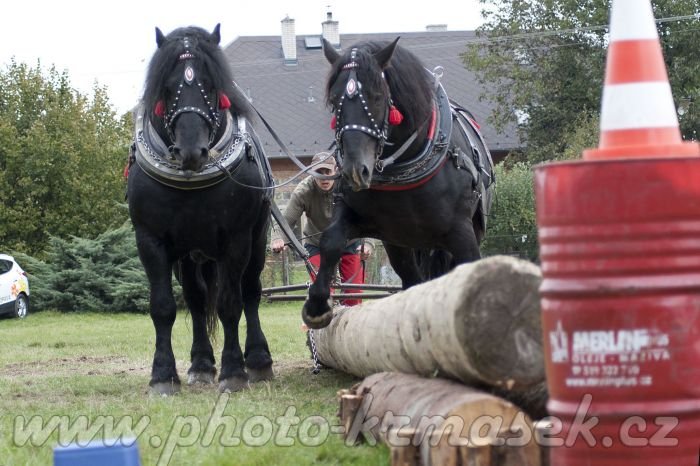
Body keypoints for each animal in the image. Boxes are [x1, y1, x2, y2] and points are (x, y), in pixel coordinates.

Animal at [128, 22, 274, 394]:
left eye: (211, 85)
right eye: (167, 88)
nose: (191, 151)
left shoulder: (236, 240)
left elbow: (230, 303)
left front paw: (234, 371)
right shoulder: (150, 241)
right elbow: (164, 307)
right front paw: (163, 375)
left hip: (256, 241)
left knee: (250, 292)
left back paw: (258, 360)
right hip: (190, 255)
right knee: (195, 300)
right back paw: (201, 364)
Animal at [304, 40, 494, 330]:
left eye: (376, 97)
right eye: (334, 101)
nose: (355, 170)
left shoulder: (461, 232)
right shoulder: (364, 218)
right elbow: (332, 239)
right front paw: (317, 305)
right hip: (401, 245)